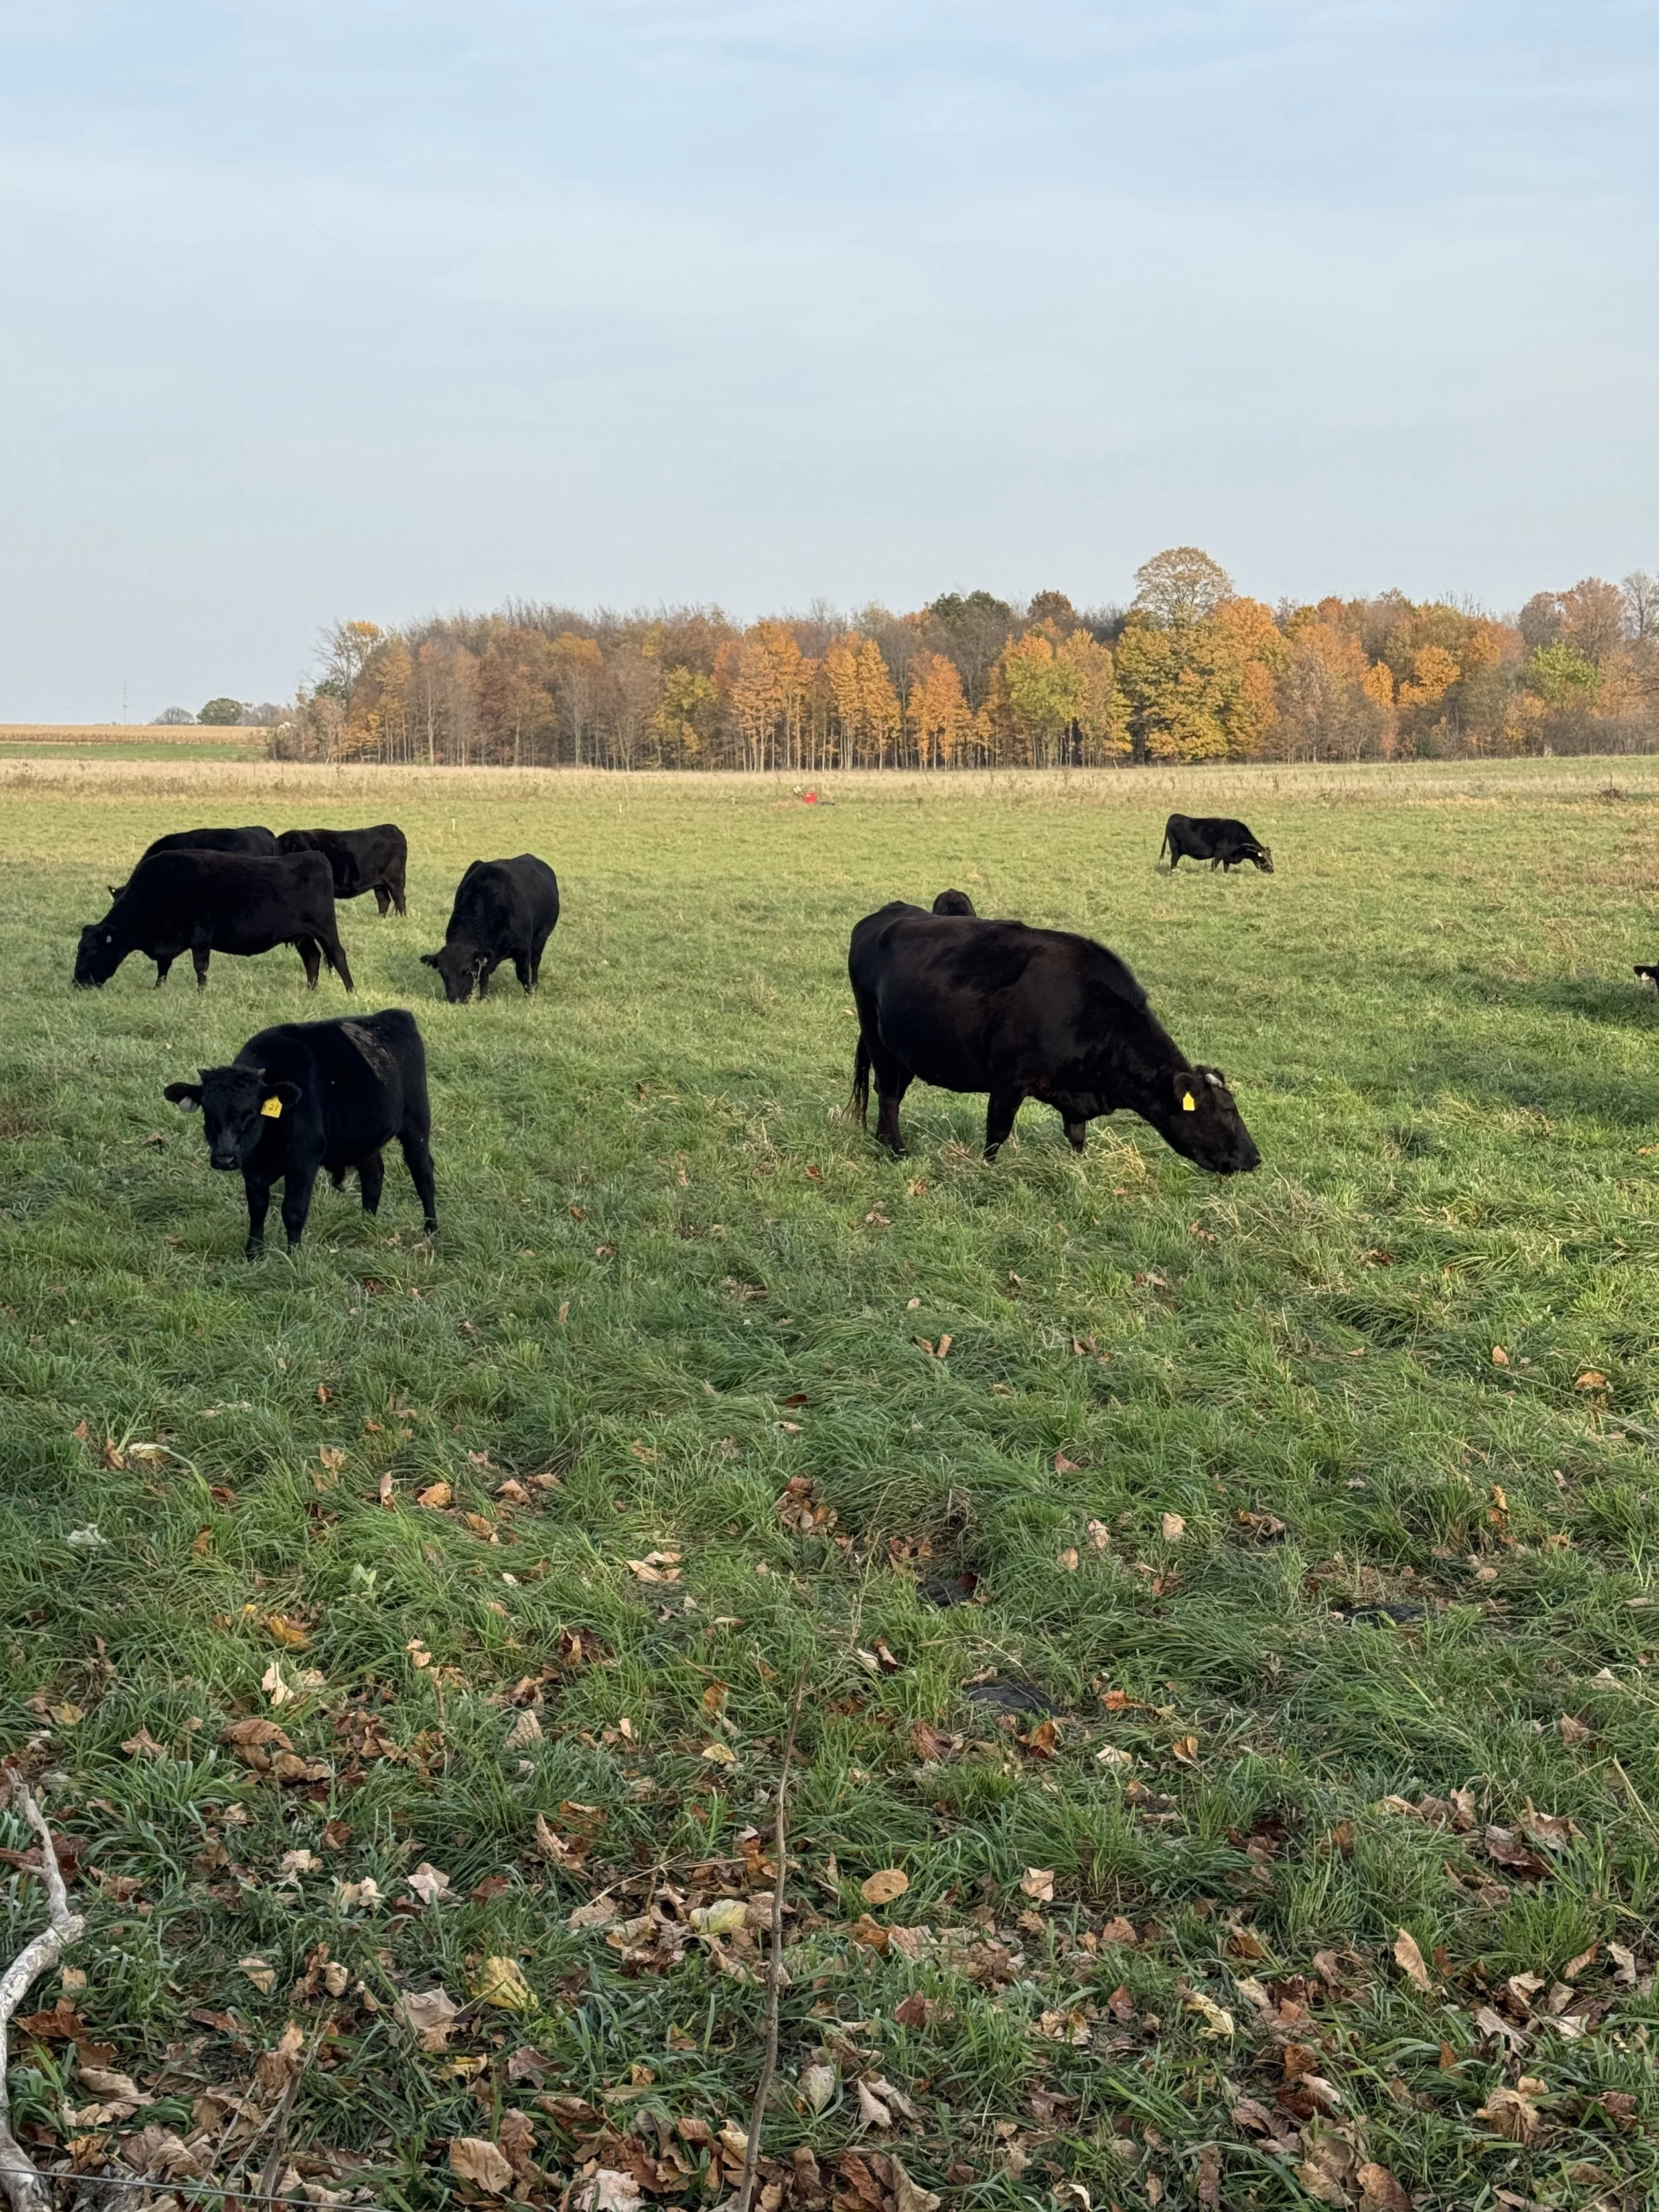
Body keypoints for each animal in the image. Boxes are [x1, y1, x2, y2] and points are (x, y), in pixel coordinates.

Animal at [74, 850, 353, 992]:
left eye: (90, 951)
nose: (77, 983)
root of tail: (315, 856)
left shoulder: (200, 935)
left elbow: (201, 967)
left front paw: (201, 992)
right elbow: (163, 967)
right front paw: (158, 988)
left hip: (325, 928)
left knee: (337, 955)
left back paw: (350, 990)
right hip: (301, 935)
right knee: (312, 957)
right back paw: (311, 989)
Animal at [163, 1009, 436, 1258]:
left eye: (251, 1113)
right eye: (207, 1110)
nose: (224, 1159)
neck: (265, 1149)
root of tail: (393, 1015)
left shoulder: (304, 1162)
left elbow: (293, 1210)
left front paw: (292, 1255)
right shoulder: (251, 1168)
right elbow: (257, 1208)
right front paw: (253, 1253)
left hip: (416, 1122)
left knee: (422, 1172)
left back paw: (431, 1230)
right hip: (364, 1137)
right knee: (373, 1174)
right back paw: (366, 1223)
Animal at [421, 855, 560, 1003]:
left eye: (467, 971)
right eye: (442, 973)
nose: (455, 999)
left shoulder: (523, 948)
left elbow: (523, 974)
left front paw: (528, 995)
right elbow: (484, 976)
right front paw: (483, 998)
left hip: (541, 938)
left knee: (535, 962)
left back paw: (534, 985)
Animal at [848, 901, 1259, 1173]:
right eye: (1224, 1111)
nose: (1254, 1157)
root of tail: (886, 913)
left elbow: (1077, 1136)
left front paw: (1080, 1170)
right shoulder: (1008, 1081)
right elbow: (996, 1134)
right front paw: (988, 1174)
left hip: (902, 1050)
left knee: (890, 1094)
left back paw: (884, 1142)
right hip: (876, 1037)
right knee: (888, 1097)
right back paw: (899, 1152)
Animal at [1159, 814, 1274, 873]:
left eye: (1271, 858)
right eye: (1263, 859)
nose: (1272, 871)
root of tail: (1175, 816)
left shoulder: (1227, 858)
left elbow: (1226, 869)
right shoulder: (1218, 854)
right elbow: (1213, 866)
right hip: (1175, 849)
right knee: (1173, 862)